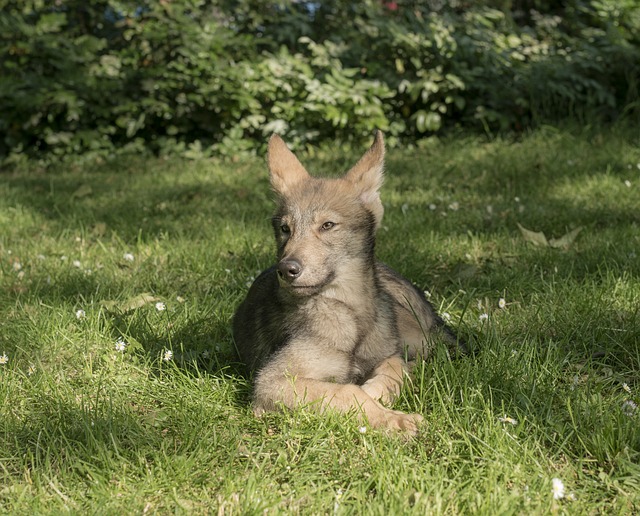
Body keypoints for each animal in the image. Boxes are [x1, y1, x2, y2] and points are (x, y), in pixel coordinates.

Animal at [235, 131, 464, 434]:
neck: (349, 312)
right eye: (285, 229)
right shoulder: (273, 380)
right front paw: (394, 418)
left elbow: (393, 368)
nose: (286, 270)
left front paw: (381, 395)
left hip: (418, 336)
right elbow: (346, 391)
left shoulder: (389, 352)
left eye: (328, 225)